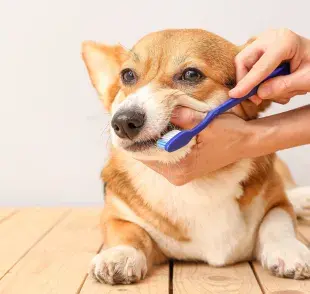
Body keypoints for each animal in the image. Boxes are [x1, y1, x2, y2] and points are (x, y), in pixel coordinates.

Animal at [81, 29, 310, 284]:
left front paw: (289, 250)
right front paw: (120, 256)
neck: (200, 183)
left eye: (191, 74)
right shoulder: (115, 214)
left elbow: (277, 222)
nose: (122, 122)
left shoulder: (276, 202)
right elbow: (128, 232)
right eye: (127, 75)